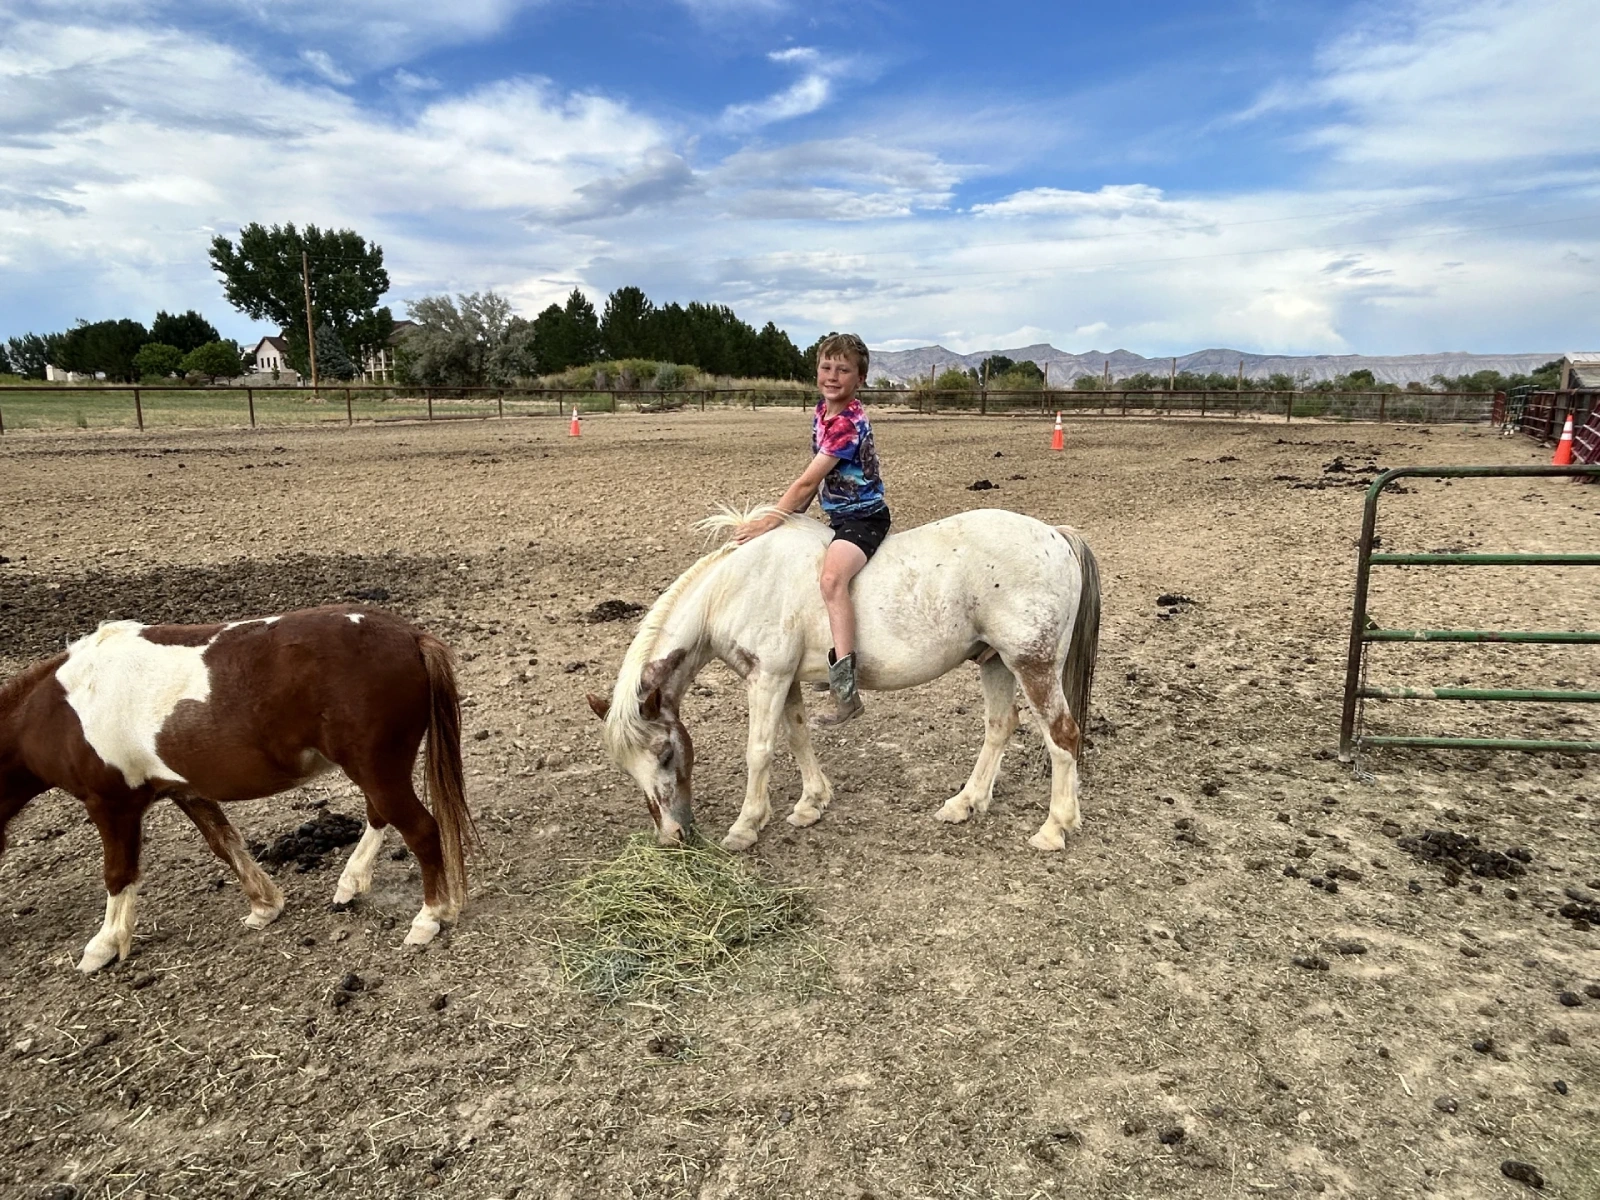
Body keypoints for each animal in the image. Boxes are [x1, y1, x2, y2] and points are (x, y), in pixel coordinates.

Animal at [0, 605, 476, 972]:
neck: (59, 708)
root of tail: (410, 636)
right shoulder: (186, 790)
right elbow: (225, 844)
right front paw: (264, 905)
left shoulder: (112, 804)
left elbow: (119, 874)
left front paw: (104, 945)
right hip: (375, 772)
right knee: (380, 815)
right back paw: (351, 883)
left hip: (377, 769)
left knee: (420, 829)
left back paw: (430, 917)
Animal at [588, 507, 1100, 853]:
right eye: (627, 768)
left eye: (666, 753)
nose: (673, 835)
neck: (738, 585)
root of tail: (1055, 535)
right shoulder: (785, 680)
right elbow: (797, 736)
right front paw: (810, 803)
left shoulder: (766, 678)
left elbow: (760, 751)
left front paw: (746, 825)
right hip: (994, 662)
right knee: (999, 727)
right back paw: (965, 802)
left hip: (1031, 664)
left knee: (1062, 736)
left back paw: (1054, 828)